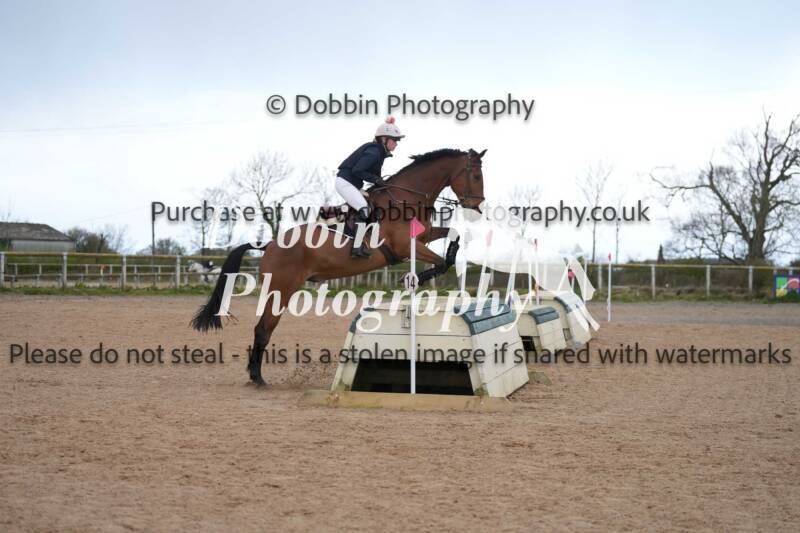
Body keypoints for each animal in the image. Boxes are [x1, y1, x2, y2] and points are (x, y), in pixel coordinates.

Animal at [191, 148, 487, 385]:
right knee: (264, 328)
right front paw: (418, 277)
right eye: (475, 176)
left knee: (263, 327)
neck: (405, 198)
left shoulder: (423, 237)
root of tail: (270, 244)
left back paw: (255, 376)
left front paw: (449, 254)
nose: (477, 206)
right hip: (280, 290)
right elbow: (441, 262)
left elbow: (453, 236)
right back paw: (258, 378)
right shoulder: (405, 246)